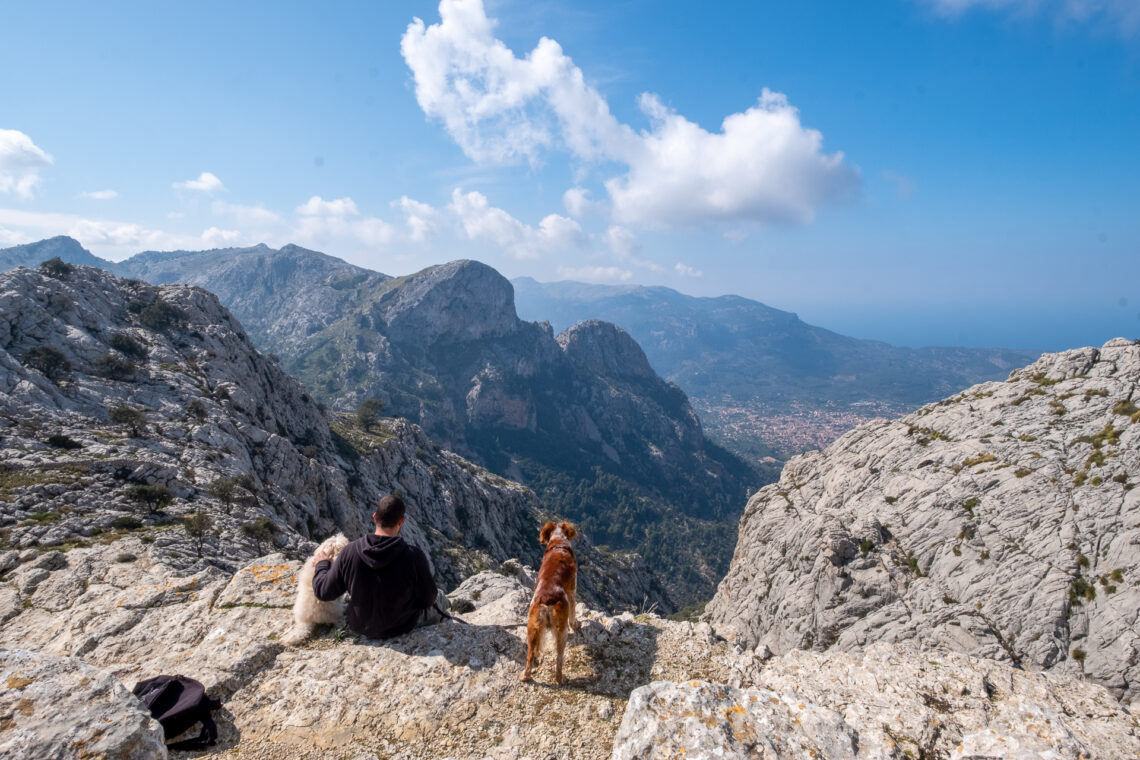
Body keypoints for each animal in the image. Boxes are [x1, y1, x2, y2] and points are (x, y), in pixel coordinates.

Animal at [522, 519, 583, 688]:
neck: (558, 541)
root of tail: (546, 602)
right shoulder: (573, 588)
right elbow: (574, 611)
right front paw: (576, 624)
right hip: (561, 630)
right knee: (559, 659)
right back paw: (561, 679)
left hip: (532, 628)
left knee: (530, 656)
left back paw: (525, 676)